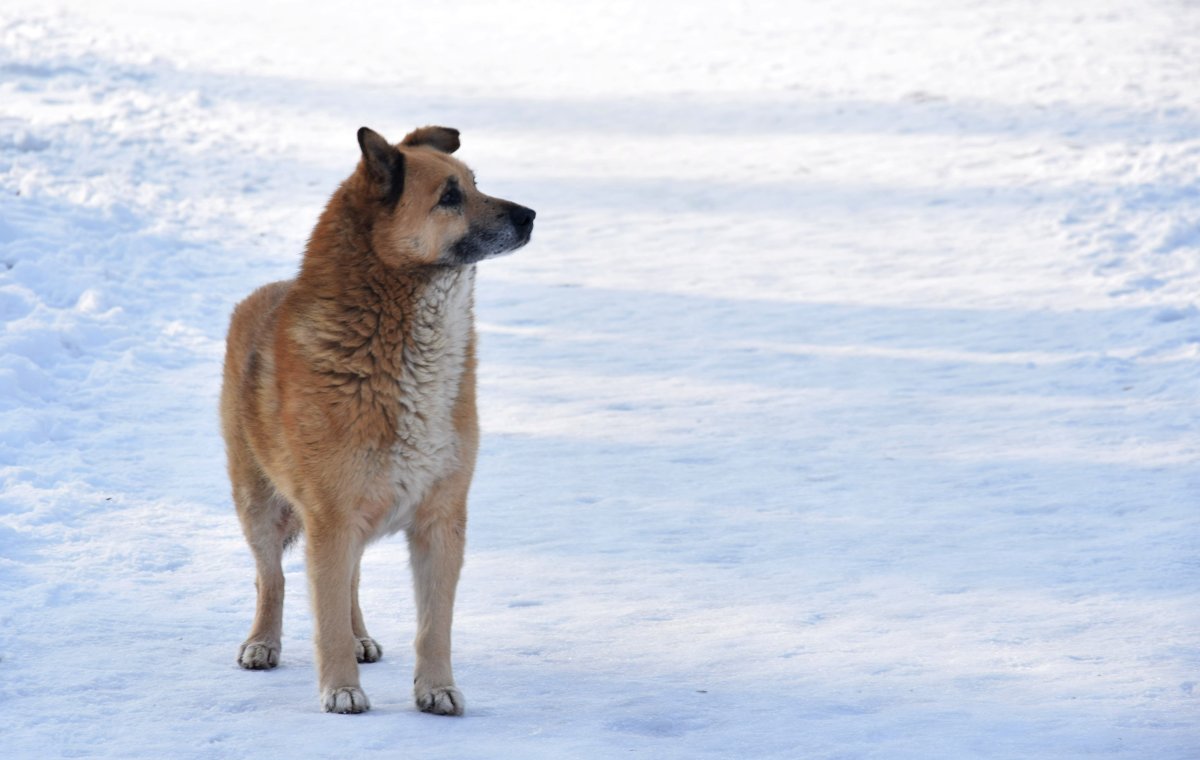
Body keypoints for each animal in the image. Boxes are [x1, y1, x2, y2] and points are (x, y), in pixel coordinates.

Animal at [219, 124, 535, 710]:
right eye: (450, 196)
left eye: (475, 182)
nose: (529, 215)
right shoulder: (331, 516)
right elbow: (324, 619)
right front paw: (342, 690)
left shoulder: (441, 520)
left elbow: (434, 624)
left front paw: (437, 688)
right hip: (258, 503)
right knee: (271, 578)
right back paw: (262, 642)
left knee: (350, 584)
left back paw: (360, 635)